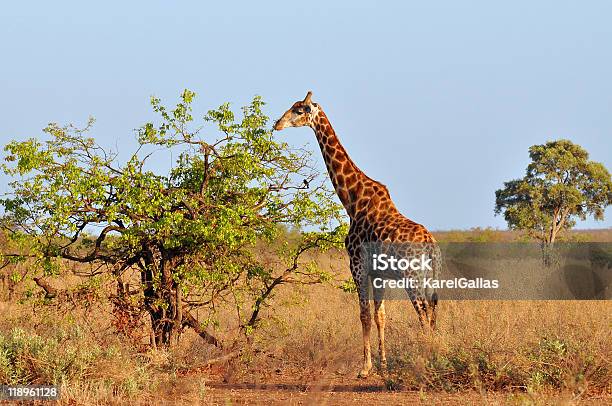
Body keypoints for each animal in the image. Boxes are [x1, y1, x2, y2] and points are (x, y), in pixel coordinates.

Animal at [274, 92, 440, 378]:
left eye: (298, 110)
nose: (277, 124)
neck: (353, 201)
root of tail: (431, 247)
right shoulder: (378, 273)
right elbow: (380, 316)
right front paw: (383, 364)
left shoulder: (358, 266)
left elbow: (363, 315)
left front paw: (365, 368)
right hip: (432, 278)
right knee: (433, 312)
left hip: (412, 277)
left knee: (422, 313)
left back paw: (426, 359)